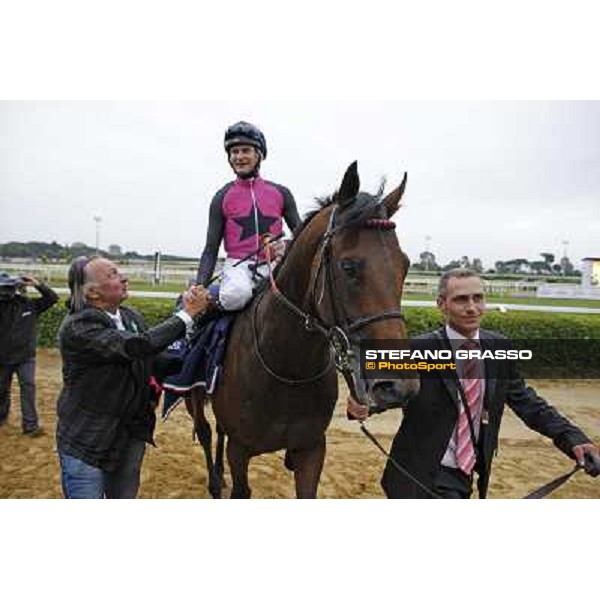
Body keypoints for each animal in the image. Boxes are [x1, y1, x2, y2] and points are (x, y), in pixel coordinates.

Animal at [186, 162, 418, 500]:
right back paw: (215, 482)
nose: (399, 387)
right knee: (204, 430)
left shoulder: (311, 447)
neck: (288, 369)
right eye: (349, 266)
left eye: (405, 266)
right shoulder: (240, 451)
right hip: (193, 394)